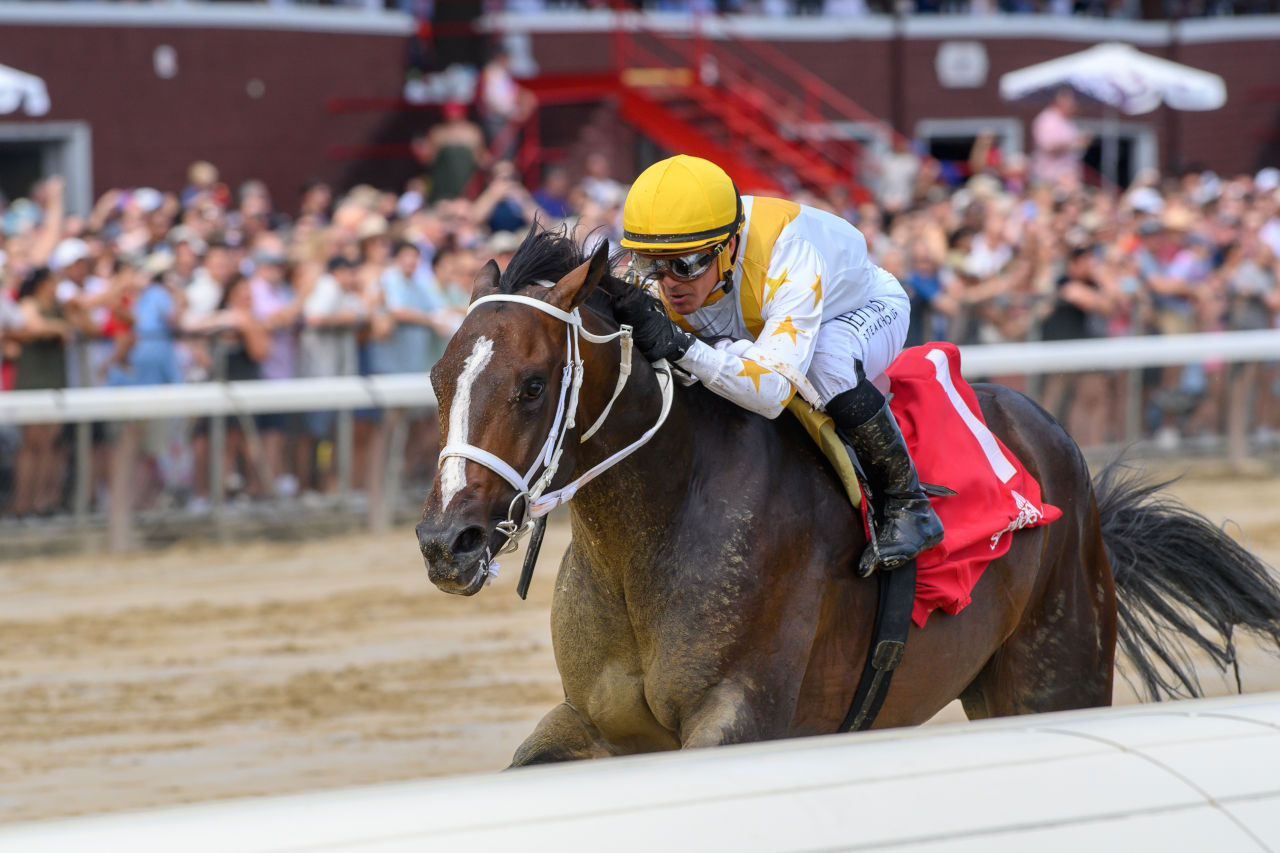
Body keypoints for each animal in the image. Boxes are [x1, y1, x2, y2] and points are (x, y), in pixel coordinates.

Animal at [417, 227, 1280, 763]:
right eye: (436, 377)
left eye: (532, 385)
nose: (446, 541)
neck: (650, 530)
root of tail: (1060, 449)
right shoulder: (597, 722)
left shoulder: (743, 717)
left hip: (1055, 675)